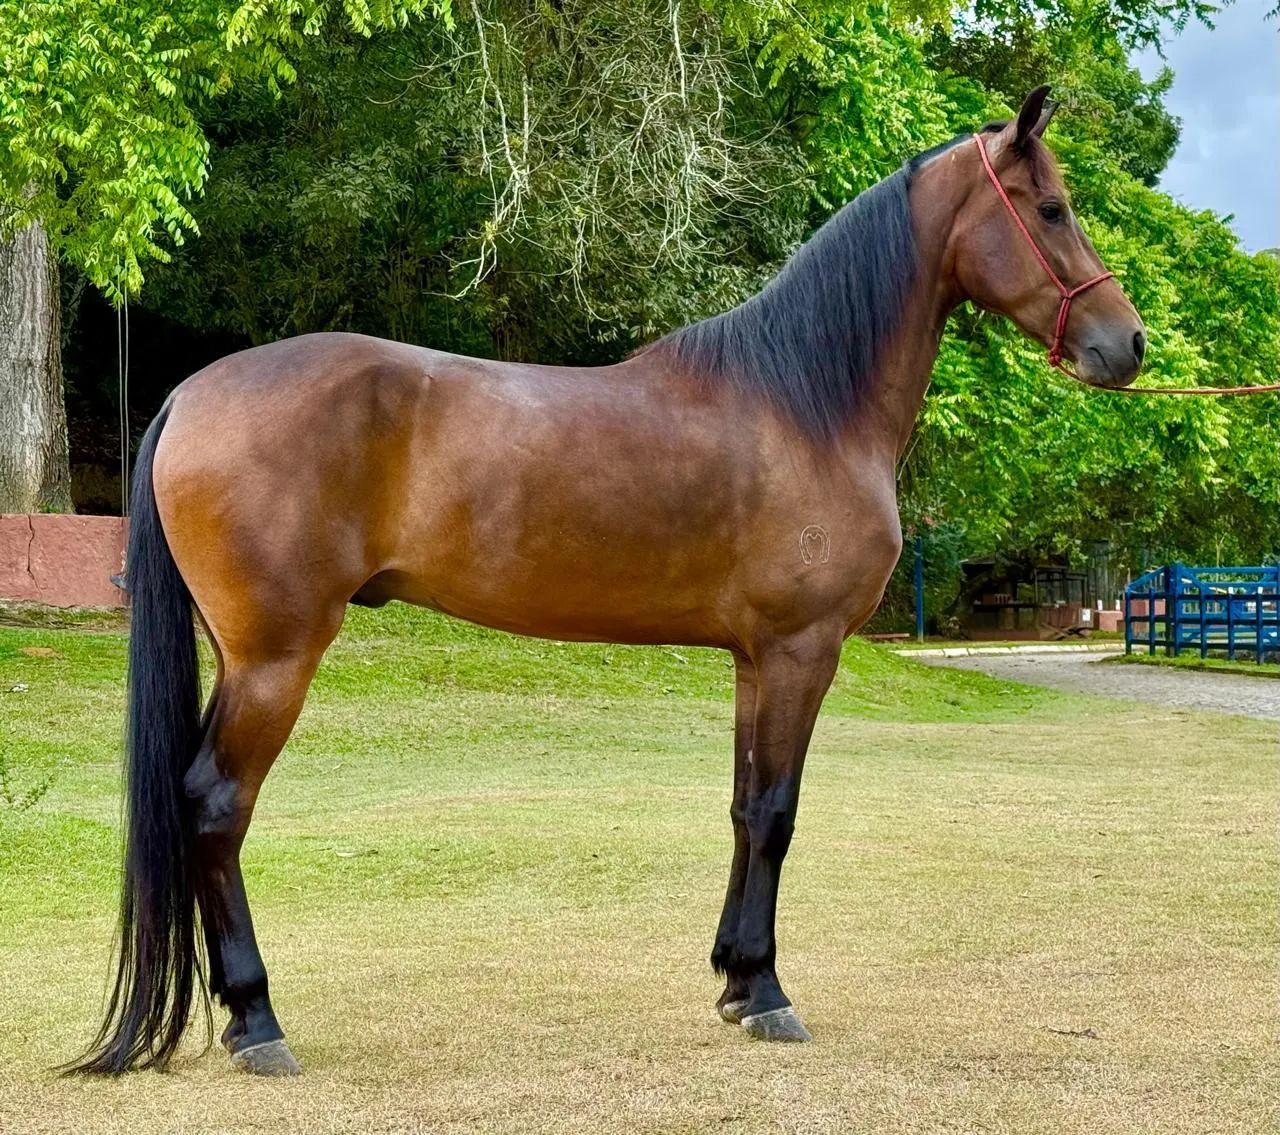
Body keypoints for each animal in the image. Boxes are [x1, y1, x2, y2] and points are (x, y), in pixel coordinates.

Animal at [71, 85, 1144, 1077]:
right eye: (1052, 208)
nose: (1126, 344)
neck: (805, 403)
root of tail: (191, 393)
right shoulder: (802, 651)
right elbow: (777, 814)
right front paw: (767, 992)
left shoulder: (755, 659)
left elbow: (744, 807)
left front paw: (734, 979)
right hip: (274, 658)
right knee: (215, 804)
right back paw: (258, 1021)